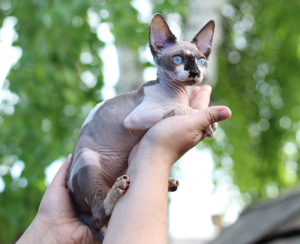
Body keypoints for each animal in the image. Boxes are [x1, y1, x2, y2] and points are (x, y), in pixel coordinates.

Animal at [66, 13, 216, 242]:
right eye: (178, 59)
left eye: (201, 61)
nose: (194, 72)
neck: (176, 94)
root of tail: (76, 207)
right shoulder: (135, 117)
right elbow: (176, 111)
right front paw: (206, 122)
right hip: (86, 158)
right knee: (98, 217)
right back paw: (116, 191)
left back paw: (167, 182)